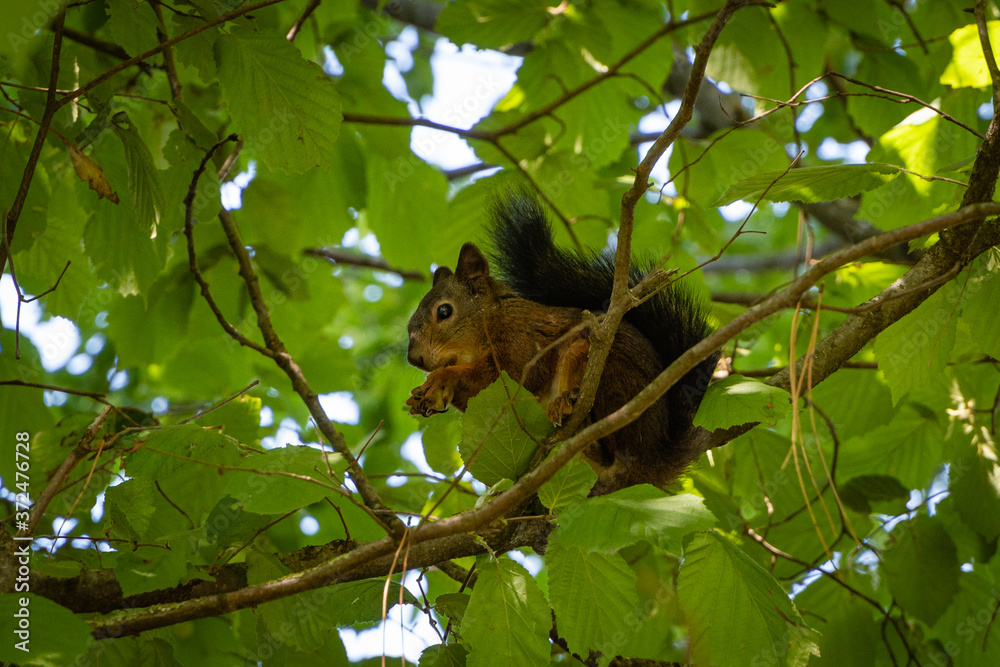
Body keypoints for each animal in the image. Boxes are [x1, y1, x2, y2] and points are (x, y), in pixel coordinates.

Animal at [405, 192, 719, 496]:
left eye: (444, 311)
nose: (414, 359)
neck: (491, 320)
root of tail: (651, 461)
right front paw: (424, 396)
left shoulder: (521, 338)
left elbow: (514, 375)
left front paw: (441, 379)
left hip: (607, 372)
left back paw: (569, 409)